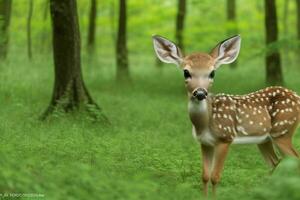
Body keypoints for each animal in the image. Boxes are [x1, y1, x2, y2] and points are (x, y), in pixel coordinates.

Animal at [152, 34, 300, 197]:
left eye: (212, 73)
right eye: (186, 72)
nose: (200, 93)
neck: (205, 123)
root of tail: (297, 96)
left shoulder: (226, 137)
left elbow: (215, 177)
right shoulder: (205, 142)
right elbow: (205, 176)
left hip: (282, 131)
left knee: (294, 159)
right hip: (264, 139)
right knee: (276, 162)